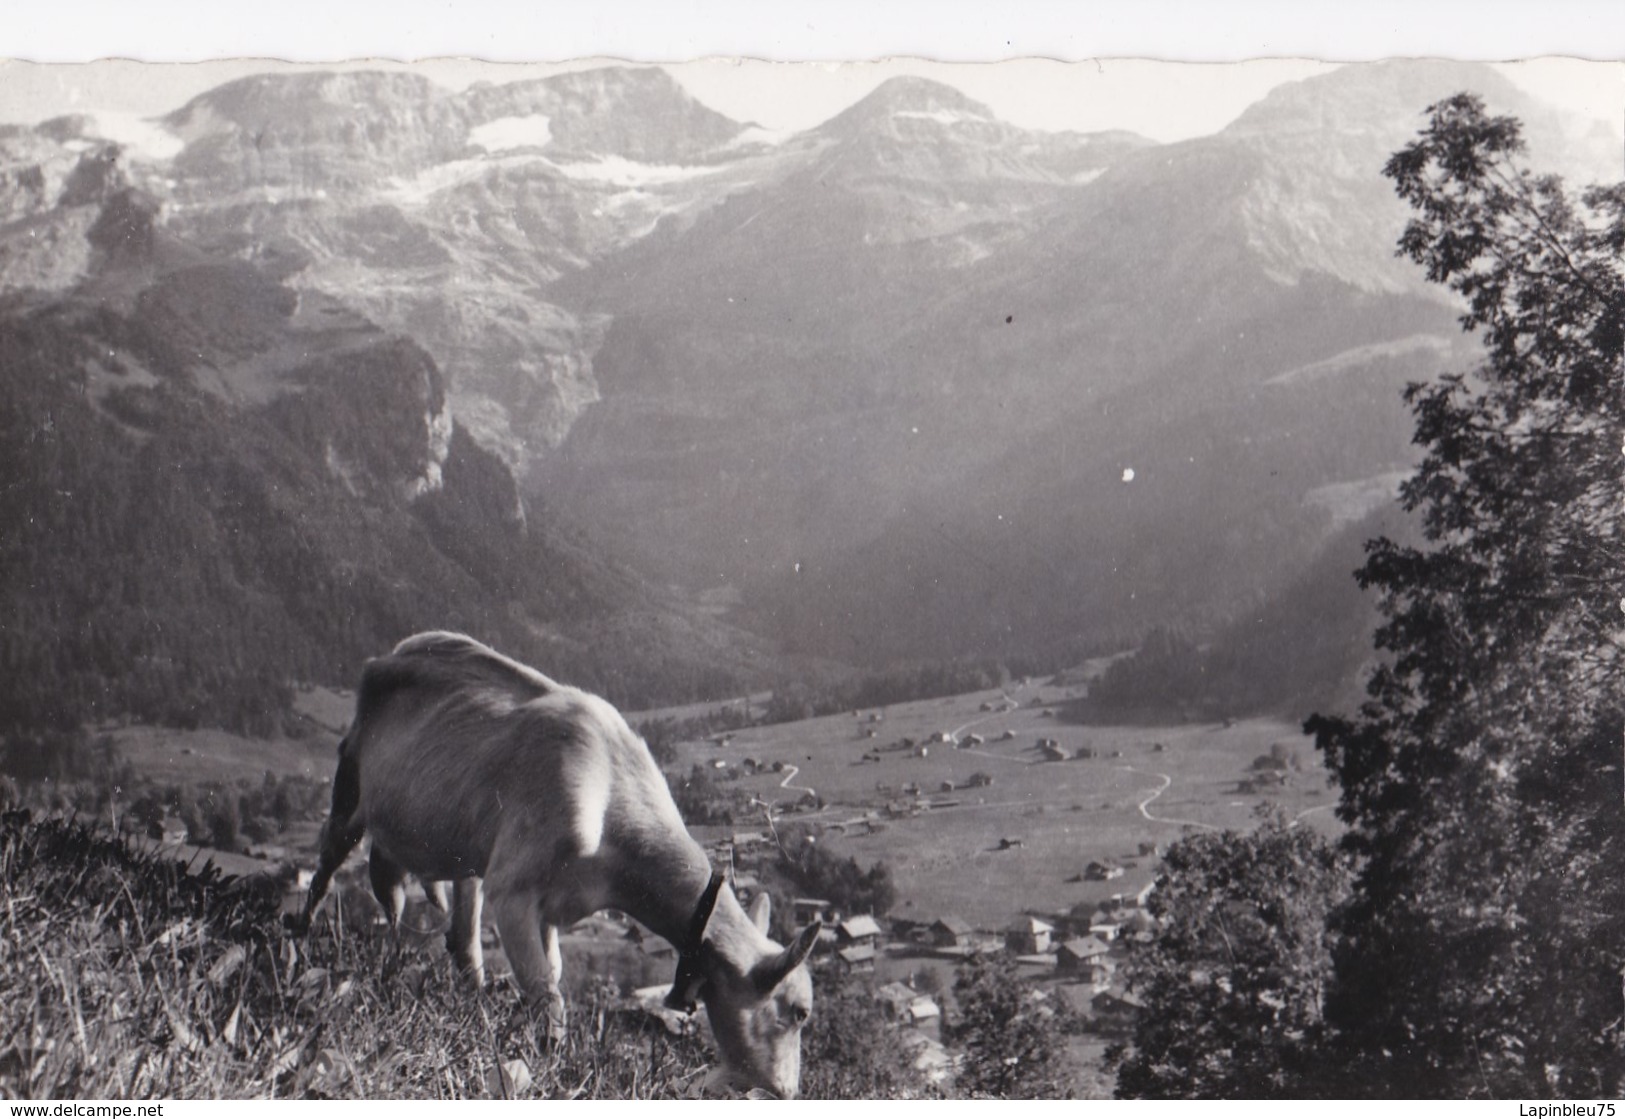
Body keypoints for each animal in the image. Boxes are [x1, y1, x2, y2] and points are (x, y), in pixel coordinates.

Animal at [292, 633, 819, 1097]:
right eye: (799, 1011)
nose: (785, 1091)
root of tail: (394, 652)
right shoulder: (513, 892)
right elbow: (546, 990)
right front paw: (550, 1068)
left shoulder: (552, 903)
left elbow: (554, 976)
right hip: (349, 788)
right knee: (327, 872)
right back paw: (304, 945)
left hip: (455, 848)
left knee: (448, 927)